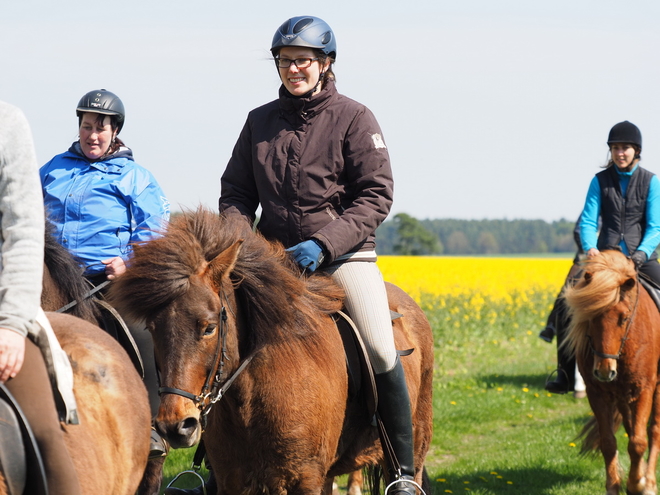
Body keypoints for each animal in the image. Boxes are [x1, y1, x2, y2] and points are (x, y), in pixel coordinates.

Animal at [111, 209, 436, 495]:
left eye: (209, 328)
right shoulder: (234, 481)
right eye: (152, 328)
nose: (175, 426)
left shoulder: (305, 480)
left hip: (416, 443)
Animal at [564, 252, 660, 495]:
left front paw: (638, 484)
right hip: (622, 397)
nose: (605, 371)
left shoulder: (644, 389)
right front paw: (615, 486)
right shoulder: (598, 393)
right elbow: (609, 443)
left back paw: (649, 482)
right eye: (590, 318)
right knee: (630, 427)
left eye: (624, 318)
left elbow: (639, 442)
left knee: (653, 431)